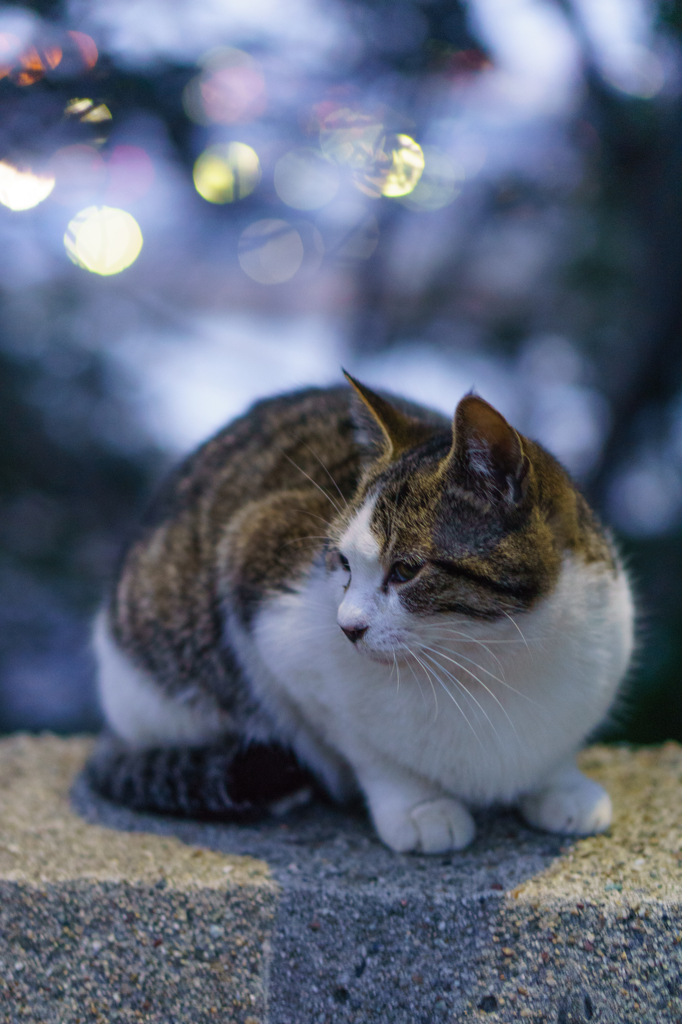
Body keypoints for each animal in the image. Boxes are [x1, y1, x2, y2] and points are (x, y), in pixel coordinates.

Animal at [87, 376, 634, 856]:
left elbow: (557, 749)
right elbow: (365, 746)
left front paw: (561, 784)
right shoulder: (260, 576)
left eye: (407, 570)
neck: (493, 656)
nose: (347, 627)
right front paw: (418, 805)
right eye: (343, 563)